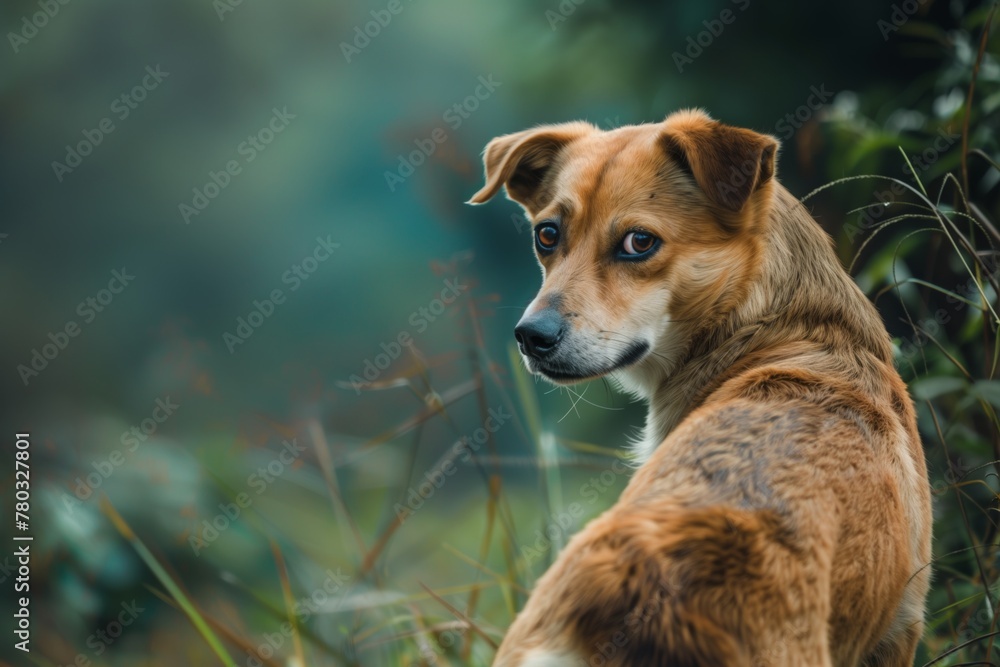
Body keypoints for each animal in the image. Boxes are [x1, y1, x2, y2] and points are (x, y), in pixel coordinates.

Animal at [466, 111, 928, 667]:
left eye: (639, 242)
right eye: (547, 234)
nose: (531, 337)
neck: (773, 326)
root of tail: (631, 581)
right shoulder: (899, 634)